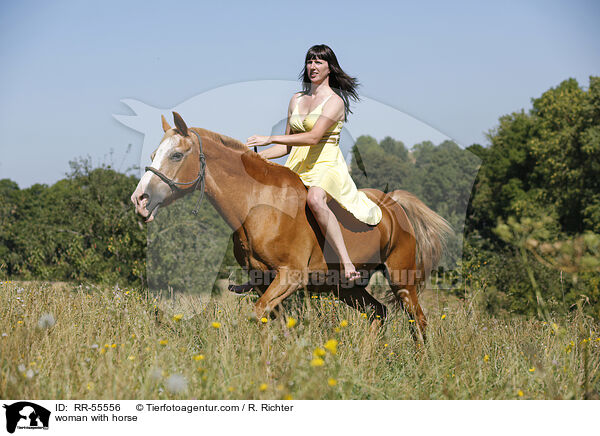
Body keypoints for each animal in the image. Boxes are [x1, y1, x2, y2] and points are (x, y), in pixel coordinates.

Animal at [131, 110, 450, 342]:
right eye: (153, 156)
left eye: (176, 155)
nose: (140, 200)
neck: (256, 204)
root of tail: (393, 204)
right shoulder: (264, 281)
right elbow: (274, 322)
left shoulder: (290, 276)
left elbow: (258, 314)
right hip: (347, 288)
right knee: (378, 313)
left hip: (401, 279)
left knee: (418, 321)